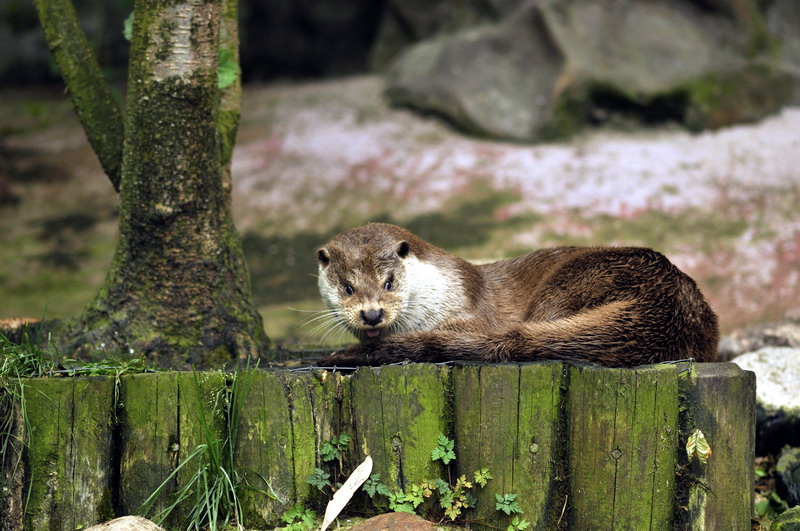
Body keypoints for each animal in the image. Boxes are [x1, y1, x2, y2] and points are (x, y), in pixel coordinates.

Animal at [316, 223, 718, 368]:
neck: (444, 291)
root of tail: (669, 305)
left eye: (389, 282)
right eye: (347, 287)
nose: (371, 314)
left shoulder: (475, 316)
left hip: (574, 280)